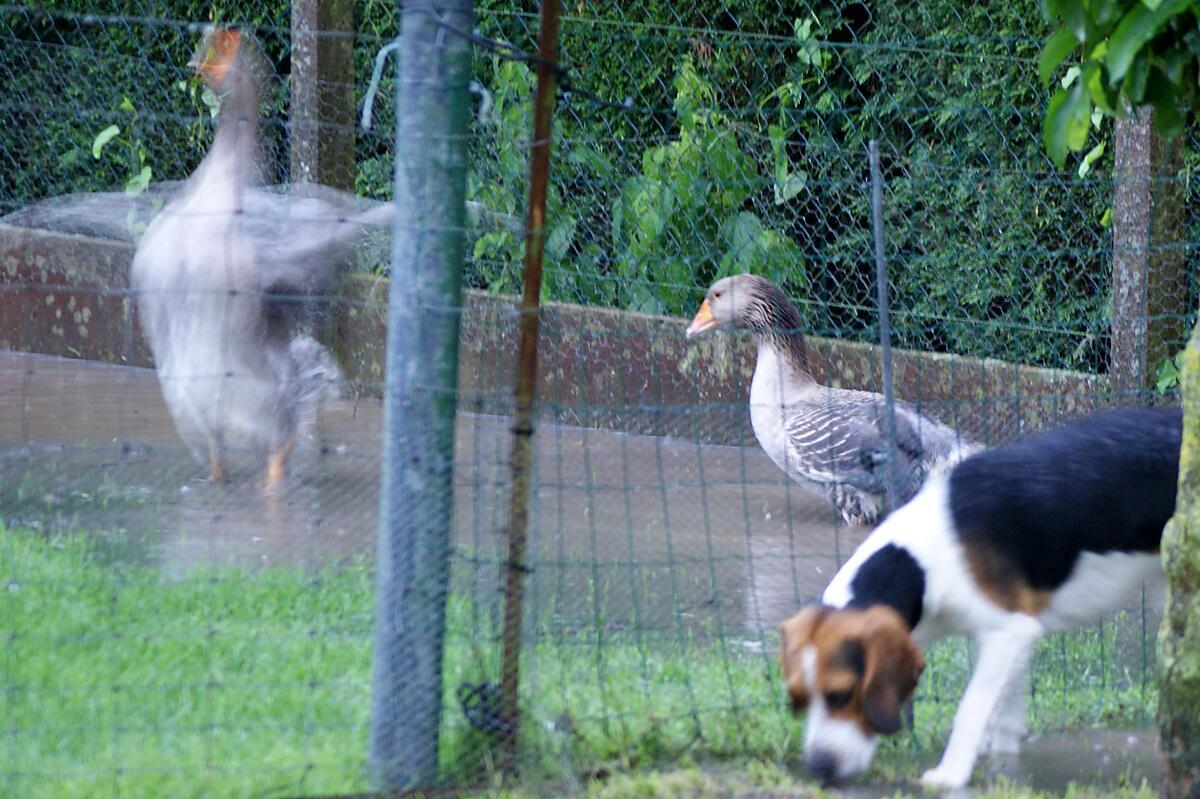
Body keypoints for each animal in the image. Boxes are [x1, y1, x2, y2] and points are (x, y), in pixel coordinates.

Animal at [777, 405, 1180, 782]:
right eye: (798, 699)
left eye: (842, 695)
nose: (819, 768)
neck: (921, 562)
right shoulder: (1004, 639)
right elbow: (1005, 720)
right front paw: (1005, 771)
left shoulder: (1008, 633)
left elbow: (971, 708)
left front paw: (950, 774)